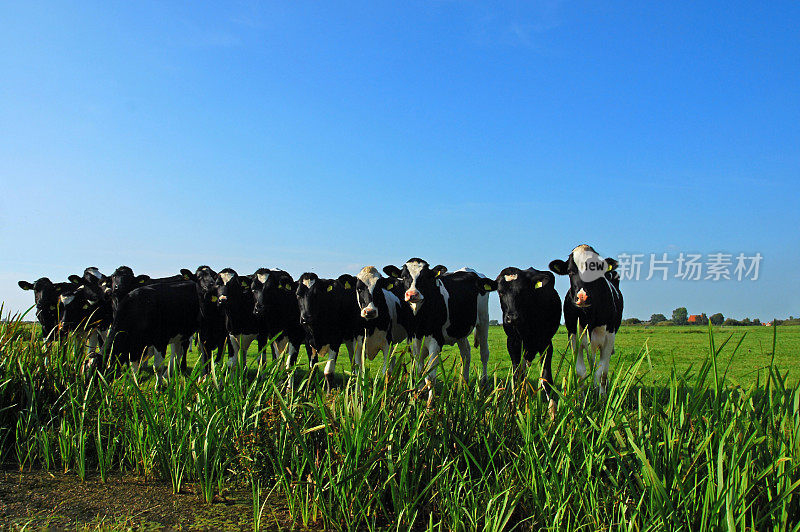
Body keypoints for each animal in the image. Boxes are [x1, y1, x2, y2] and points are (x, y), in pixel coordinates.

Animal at [382, 258, 494, 400]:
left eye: (425, 277)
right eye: (404, 276)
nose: (412, 294)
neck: (419, 320)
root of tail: (469, 270)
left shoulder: (435, 341)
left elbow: (430, 376)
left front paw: (430, 403)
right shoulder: (414, 340)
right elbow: (419, 371)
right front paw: (418, 395)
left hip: (484, 320)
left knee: (484, 353)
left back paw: (484, 384)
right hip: (459, 330)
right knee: (466, 354)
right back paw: (464, 385)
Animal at [494, 268, 564, 414]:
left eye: (523, 291)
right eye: (500, 292)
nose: (512, 318)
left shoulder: (546, 343)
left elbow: (546, 376)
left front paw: (552, 410)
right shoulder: (513, 343)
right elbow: (516, 374)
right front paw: (515, 404)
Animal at [552, 245, 624, 394]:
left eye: (596, 269)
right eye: (570, 271)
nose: (582, 297)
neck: (588, 314)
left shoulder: (609, 337)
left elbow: (601, 372)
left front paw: (601, 397)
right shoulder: (574, 335)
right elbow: (580, 371)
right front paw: (580, 397)